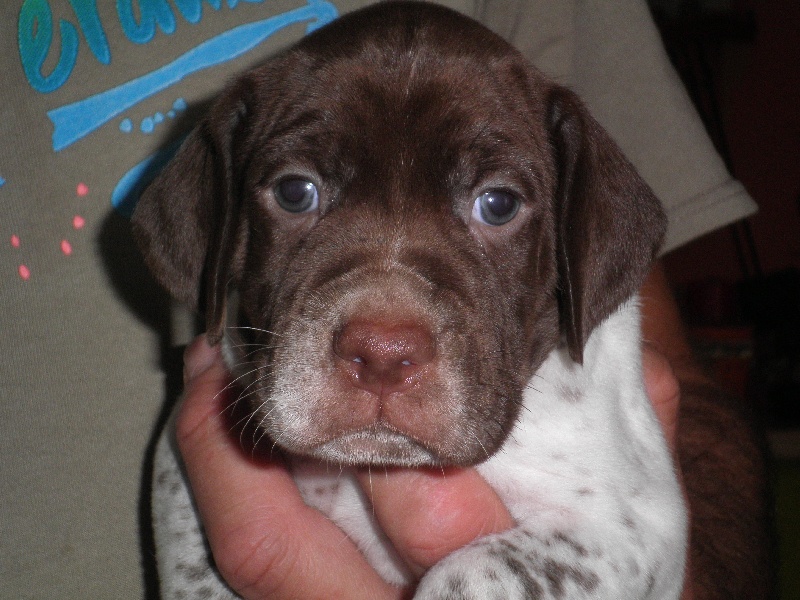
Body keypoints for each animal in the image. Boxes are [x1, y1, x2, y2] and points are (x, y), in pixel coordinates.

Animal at [133, 2, 688, 596]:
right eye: (294, 191)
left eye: (498, 203)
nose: (382, 355)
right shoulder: (175, 473)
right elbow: (197, 572)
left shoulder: (632, 527)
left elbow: (472, 570)